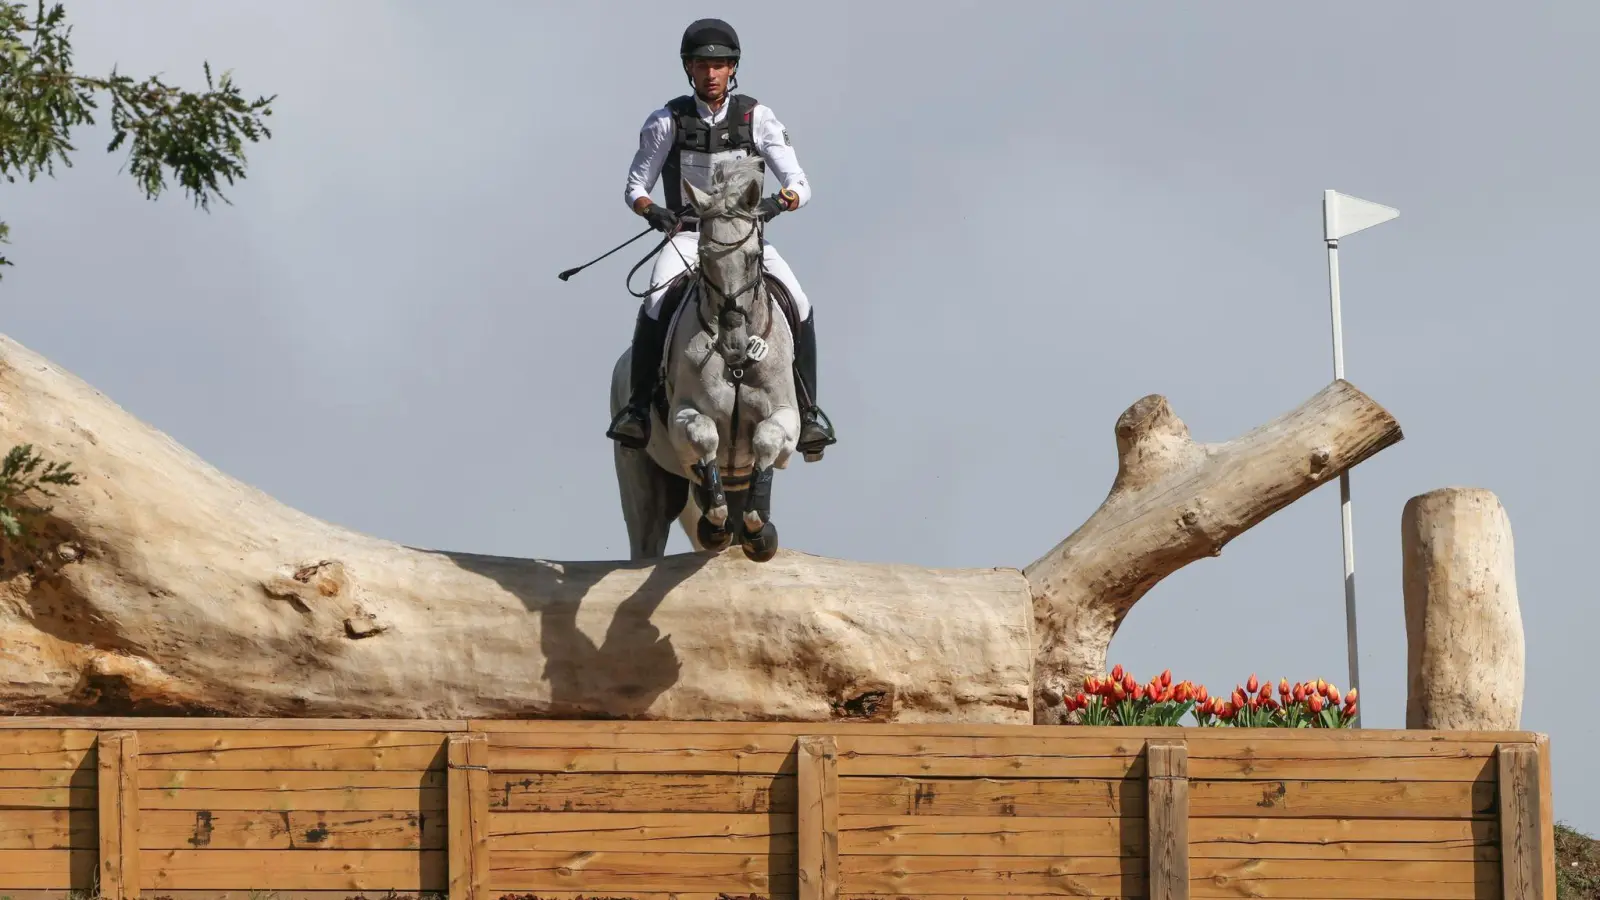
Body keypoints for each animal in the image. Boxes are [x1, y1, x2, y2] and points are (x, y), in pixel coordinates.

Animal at [604, 156, 806, 560]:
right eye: (703, 257)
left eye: (753, 257)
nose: (733, 341)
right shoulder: (684, 416)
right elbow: (704, 435)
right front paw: (715, 525)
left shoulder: (785, 417)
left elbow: (766, 441)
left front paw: (759, 530)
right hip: (642, 485)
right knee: (646, 541)